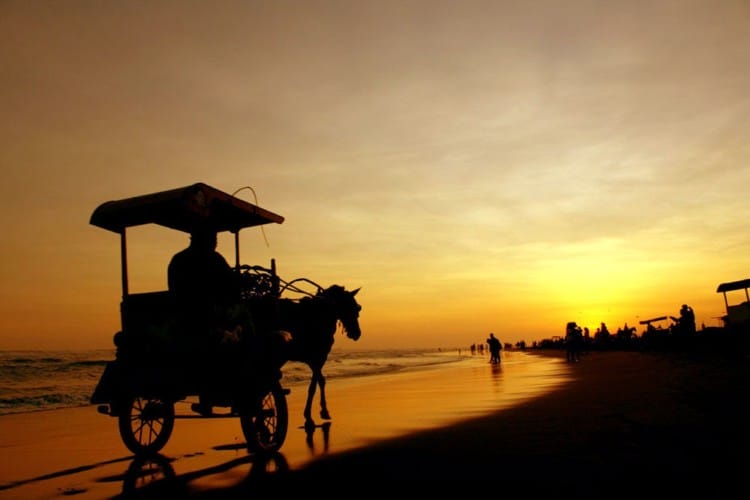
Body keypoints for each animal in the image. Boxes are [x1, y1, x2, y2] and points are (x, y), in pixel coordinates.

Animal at [274, 284, 362, 428]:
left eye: (357, 308)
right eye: (352, 307)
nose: (357, 333)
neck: (319, 315)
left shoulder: (314, 360)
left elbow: (321, 380)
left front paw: (324, 410)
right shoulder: (318, 357)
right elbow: (313, 386)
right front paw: (308, 416)